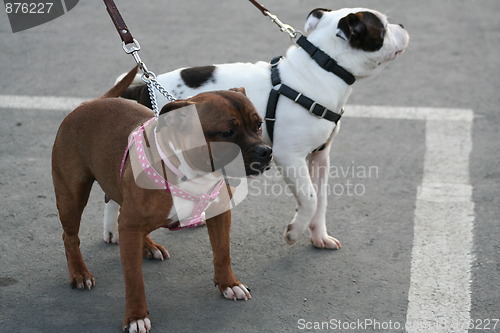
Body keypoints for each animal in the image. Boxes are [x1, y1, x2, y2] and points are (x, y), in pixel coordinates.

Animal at [52, 67, 272, 330]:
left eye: (258, 125)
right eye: (227, 133)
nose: (266, 151)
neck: (192, 172)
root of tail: (91, 102)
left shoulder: (220, 214)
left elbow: (222, 253)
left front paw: (229, 284)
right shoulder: (130, 227)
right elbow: (134, 280)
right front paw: (136, 316)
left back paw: (148, 245)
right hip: (71, 195)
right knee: (70, 237)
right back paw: (80, 272)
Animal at [106, 6, 410, 248]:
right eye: (383, 27)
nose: (403, 26)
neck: (322, 68)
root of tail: (138, 89)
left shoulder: (320, 158)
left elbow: (321, 200)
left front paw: (319, 235)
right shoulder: (290, 157)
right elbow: (310, 198)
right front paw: (295, 231)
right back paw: (113, 232)